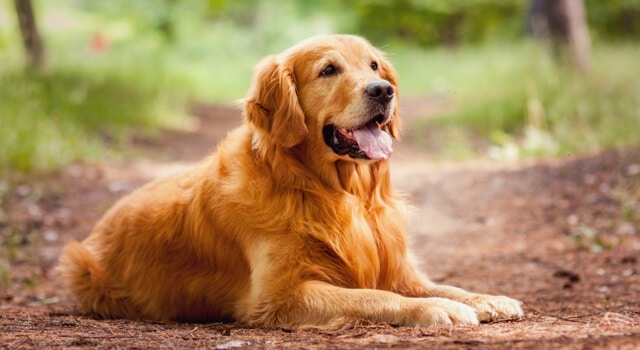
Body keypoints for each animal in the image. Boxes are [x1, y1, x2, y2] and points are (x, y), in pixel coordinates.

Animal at [57, 34, 524, 326]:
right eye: (328, 70)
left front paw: (486, 298)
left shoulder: (398, 268)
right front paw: (435, 310)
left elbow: (444, 285)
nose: (382, 90)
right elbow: (375, 296)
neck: (335, 192)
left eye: (374, 65)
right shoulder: (280, 295)